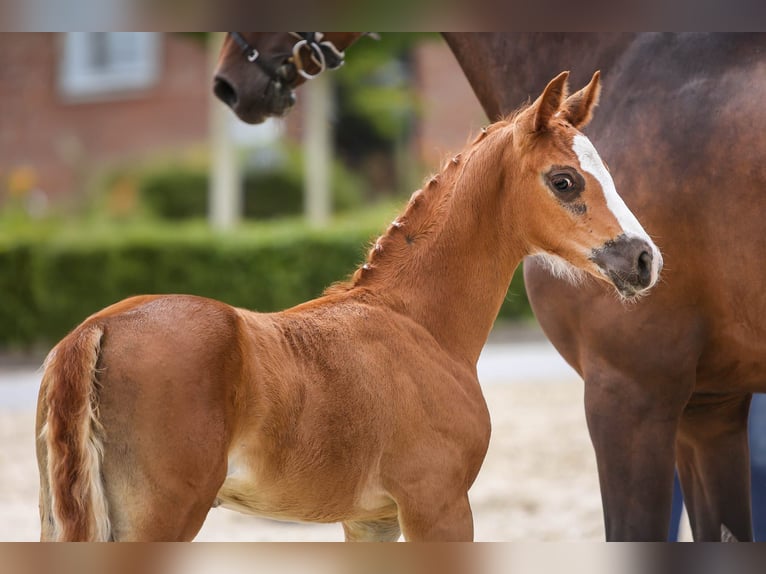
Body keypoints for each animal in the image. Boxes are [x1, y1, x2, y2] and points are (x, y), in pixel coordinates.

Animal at [34, 70, 660, 544]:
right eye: (564, 180)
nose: (644, 259)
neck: (416, 323)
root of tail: (96, 331)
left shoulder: (371, 520)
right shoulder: (438, 505)